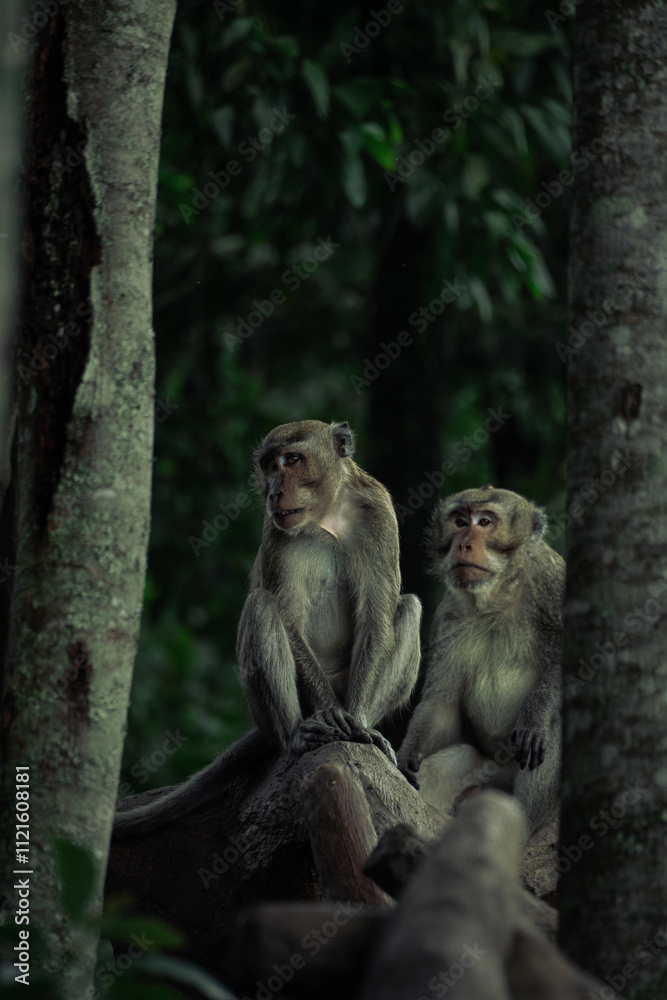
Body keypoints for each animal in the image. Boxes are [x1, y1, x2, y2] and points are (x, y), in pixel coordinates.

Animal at [114, 420, 421, 839]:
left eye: (292, 460)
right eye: (269, 465)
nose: (275, 490)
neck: (327, 515)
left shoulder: (379, 513)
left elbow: (377, 616)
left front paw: (356, 721)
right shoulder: (275, 529)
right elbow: (287, 617)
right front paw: (331, 713)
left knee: (409, 607)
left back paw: (368, 733)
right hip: (265, 707)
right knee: (262, 607)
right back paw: (296, 735)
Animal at [398, 486, 564, 836]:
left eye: (485, 522)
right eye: (460, 521)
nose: (464, 543)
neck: (496, 599)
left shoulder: (551, 582)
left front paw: (535, 715)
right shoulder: (448, 616)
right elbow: (443, 703)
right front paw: (406, 754)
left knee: (551, 727)